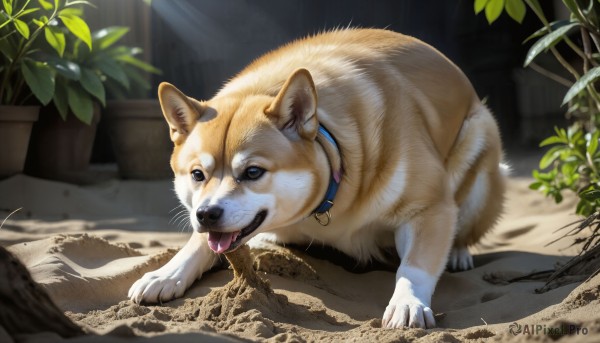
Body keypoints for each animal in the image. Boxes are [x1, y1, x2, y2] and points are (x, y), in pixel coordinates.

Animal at [129, 28, 504, 330]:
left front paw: (407, 301)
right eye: (197, 174)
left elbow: (414, 267)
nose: (207, 214)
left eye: (253, 172)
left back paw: (458, 253)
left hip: (479, 143)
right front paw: (167, 273)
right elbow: (198, 243)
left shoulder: (430, 206)